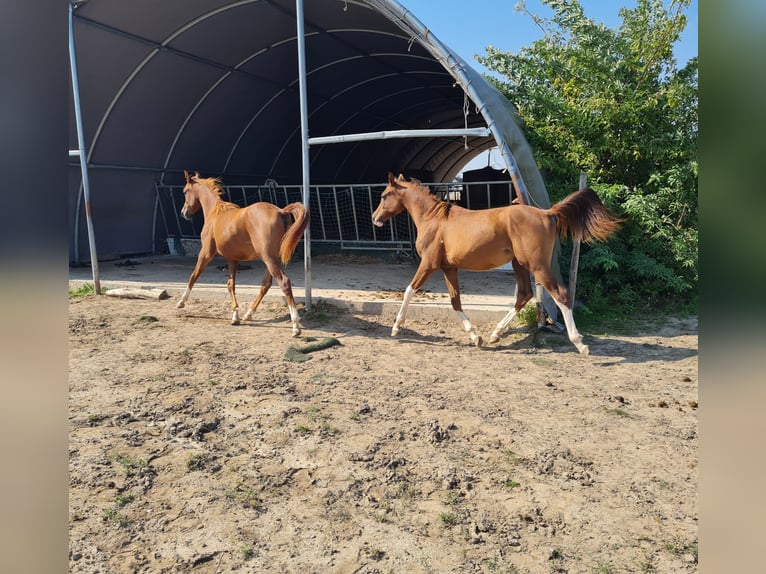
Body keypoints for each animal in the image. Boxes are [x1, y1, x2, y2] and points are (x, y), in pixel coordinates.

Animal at [178, 171, 310, 338]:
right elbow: (231, 285)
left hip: (268, 258)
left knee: (284, 282)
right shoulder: (232, 259)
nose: (184, 213)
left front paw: (181, 302)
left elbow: (193, 276)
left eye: (185, 191)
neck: (215, 213)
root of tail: (281, 211)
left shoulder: (206, 253)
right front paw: (235, 316)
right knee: (266, 284)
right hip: (272, 259)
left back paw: (296, 326)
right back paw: (249, 314)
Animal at [374, 173, 624, 358]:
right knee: (524, 295)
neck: (434, 219)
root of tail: (547, 213)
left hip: (537, 266)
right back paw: (495, 334)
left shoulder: (429, 264)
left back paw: (580, 343)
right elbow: (456, 302)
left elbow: (409, 290)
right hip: (519, 264)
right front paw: (476, 338)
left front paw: (396, 327)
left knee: (560, 294)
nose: (375, 218)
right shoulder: (448, 268)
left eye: (385, 195)